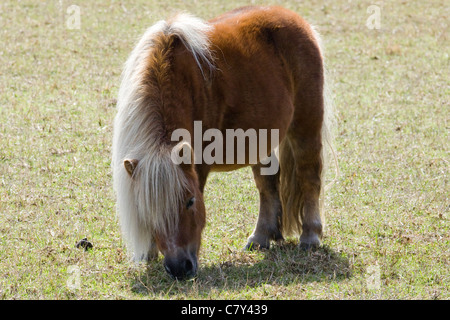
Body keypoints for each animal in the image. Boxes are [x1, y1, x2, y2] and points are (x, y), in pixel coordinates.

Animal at [110, 5, 332, 280]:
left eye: (190, 201)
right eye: (146, 209)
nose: (179, 268)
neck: (176, 76)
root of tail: (296, 20)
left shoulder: (199, 164)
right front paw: (149, 252)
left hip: (305, 127)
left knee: (310, 177)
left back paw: (310, 236)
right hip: (261, 140)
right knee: (268, 185)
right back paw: (261, 237)